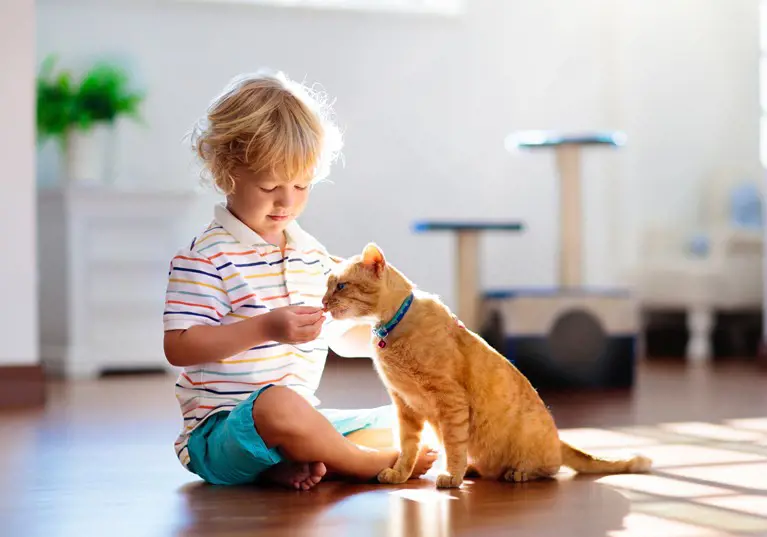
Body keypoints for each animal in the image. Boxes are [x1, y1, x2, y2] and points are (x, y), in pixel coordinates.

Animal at [320, 245, 652, 488]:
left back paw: (516, 472)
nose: (322, 303)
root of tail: (559, 438)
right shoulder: (405, 407)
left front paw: (451, 476)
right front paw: (401, 474)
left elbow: (453, 444)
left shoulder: (450, 401)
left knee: (550, 469)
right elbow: (407, 448)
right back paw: (472, 469)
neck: (390, 329)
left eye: (341, 286)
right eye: (327, 287)